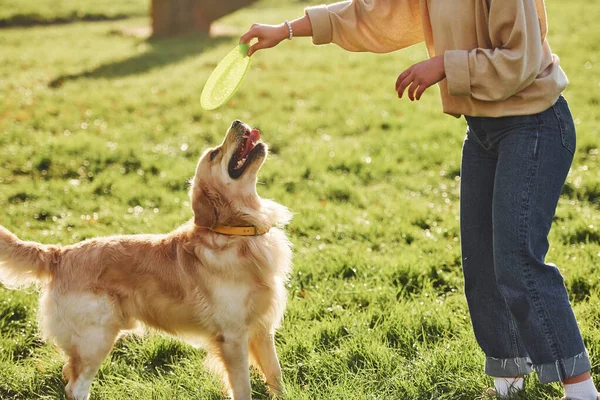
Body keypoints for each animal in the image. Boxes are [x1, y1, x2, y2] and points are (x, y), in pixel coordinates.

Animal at [0, 119, 292, 400]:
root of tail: (61, 254)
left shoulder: (263, 329)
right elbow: (243, 388)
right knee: (76, 388)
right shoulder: (232, 337)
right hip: (96, 338)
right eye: (214, 154)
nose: (237, 121)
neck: (236, 233)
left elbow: (275, 373)